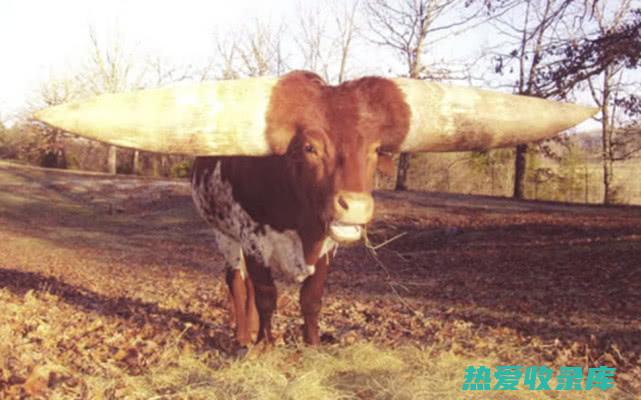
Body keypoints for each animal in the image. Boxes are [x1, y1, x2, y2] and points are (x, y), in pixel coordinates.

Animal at [35, 70, 596, 348]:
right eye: (309, 148)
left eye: (376, 151)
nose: (357, 205)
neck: (299, 221)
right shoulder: (253, 237)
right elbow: (265, 297)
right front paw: (265, 345)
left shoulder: (328, 247)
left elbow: (311, 300)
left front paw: (311, 346)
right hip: (221, 235)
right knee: (235, 283)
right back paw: (242, 338)